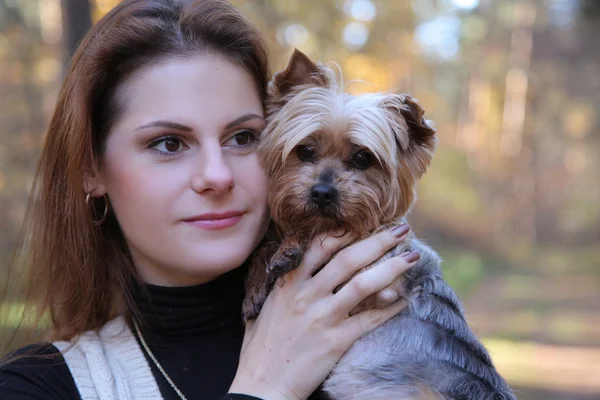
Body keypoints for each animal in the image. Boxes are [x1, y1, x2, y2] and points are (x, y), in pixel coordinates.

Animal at [244, 50, 516, 400]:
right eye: (304, 151)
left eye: (363, 158)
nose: (322, 192)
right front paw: (256, 283)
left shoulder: (379, 275)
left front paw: (288, 248)